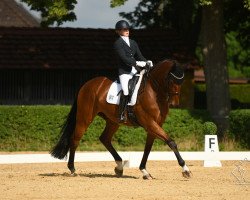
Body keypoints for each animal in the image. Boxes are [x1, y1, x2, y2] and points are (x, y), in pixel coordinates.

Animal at [50, 59, 191, 180]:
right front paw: (185, 170)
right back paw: (72, 169)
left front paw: (144, 171)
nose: (174, 104)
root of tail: (87, 84)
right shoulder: (150, 123)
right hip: (84, 118)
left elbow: (148, 148)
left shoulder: (154, 125)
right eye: (171, 80)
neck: (154, 91)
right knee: (75, 139)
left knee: (105, 139)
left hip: (113, 121)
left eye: (182, 81)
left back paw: (119, 167)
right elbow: (171, 142)